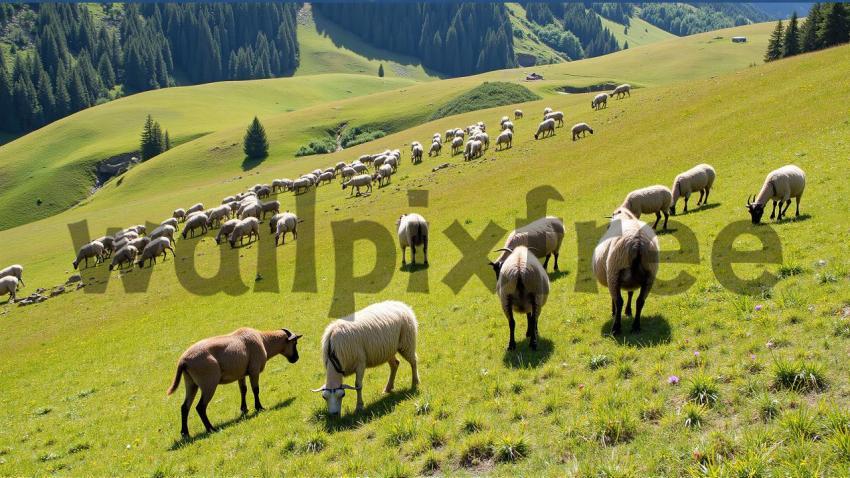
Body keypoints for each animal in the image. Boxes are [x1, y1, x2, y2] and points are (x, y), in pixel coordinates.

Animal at [166, 326, 302, 436]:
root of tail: (183, 361)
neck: (264, 341)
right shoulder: (254, 370)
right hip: (208, 383)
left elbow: (243, 390)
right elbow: (255, 390)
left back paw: (185, 433)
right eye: (294, 343)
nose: (296, 358)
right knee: (200, 407)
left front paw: (244, 409)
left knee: (185, 407)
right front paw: (259, 408)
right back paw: (211, 429)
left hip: (191, 383)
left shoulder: (241, 374)